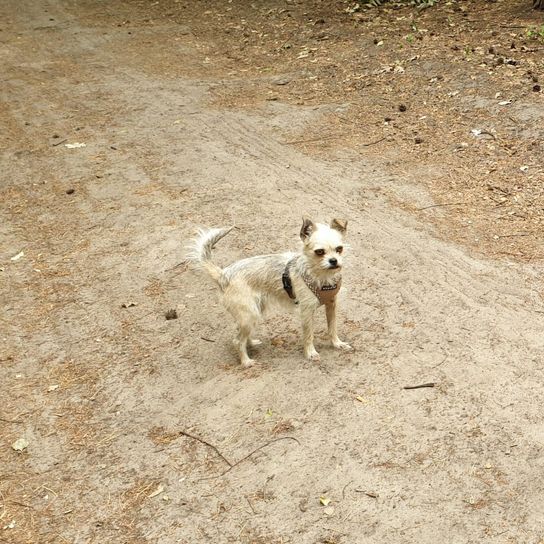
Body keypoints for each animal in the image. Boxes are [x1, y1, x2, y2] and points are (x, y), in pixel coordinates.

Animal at [185, 216, 352, 366]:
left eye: (339, 249)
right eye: (319, 252)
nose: (334, 261)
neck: (321, 276)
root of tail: (224, 274)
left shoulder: (331, 305)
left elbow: (332, 328)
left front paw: (337, 344)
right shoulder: (306, 311)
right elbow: (308, 335)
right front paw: (310, 353)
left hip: (253, 312)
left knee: (241, 333)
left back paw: (251, 343)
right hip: (249, 314)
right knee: (237, 340)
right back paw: (246, 362)